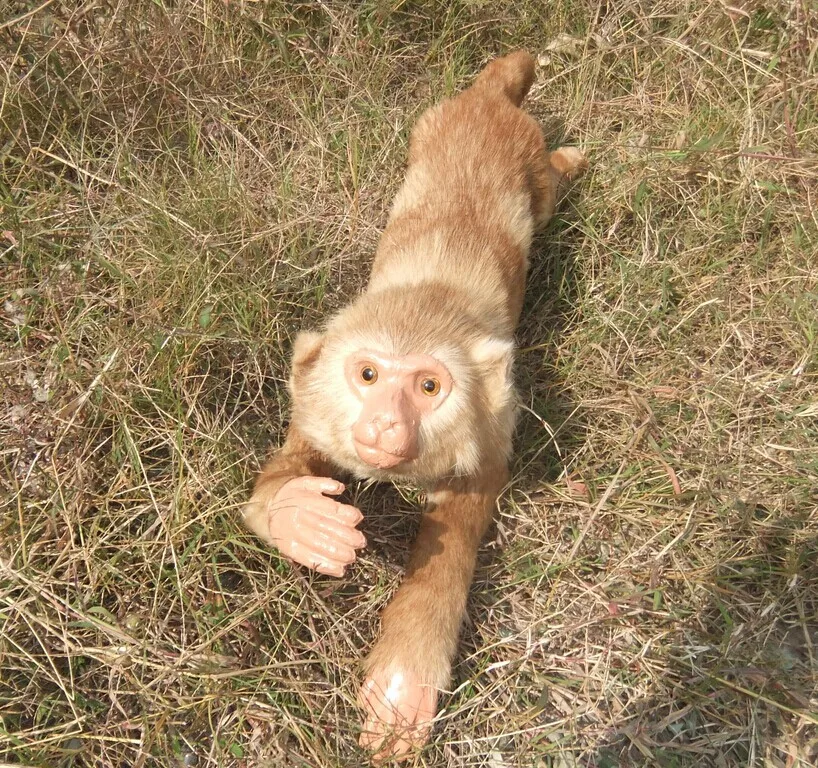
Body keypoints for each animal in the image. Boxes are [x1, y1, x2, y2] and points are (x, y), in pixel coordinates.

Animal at [242, 51, 587, 759]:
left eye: (428, 388)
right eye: (368, 374)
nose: (384, 426)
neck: (427, 298)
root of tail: (488, 100)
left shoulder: (490, 425)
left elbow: (461, 522)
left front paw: (404, 679)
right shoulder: (319, 410)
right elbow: (290, 469)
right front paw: (302, 518)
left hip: (530, 164)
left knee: (546, 189)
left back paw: (570, 160)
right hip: (428, 128)